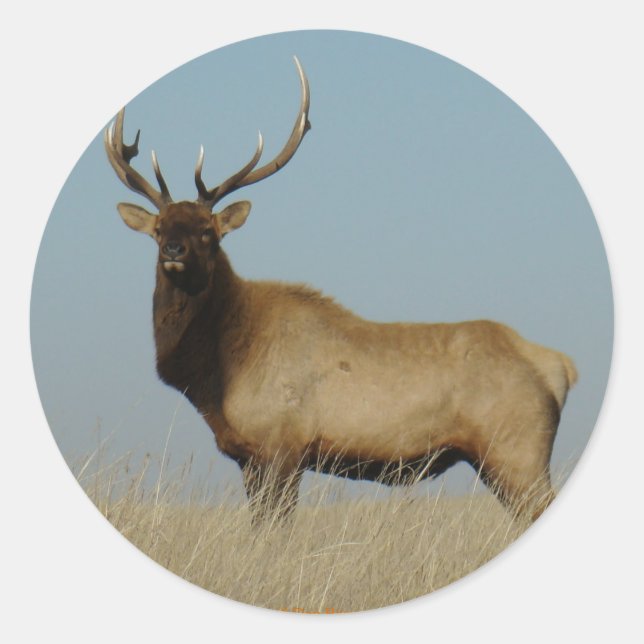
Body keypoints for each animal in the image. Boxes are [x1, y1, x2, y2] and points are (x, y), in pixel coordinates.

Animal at [105, 57, 577, 523]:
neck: (216, 376)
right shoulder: (248, 457)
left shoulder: (281, 446)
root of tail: (561, 367)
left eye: (207, 231)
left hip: (517, 452)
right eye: (160, 228)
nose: (174, 249)